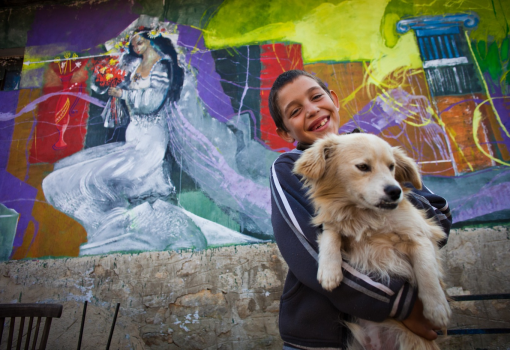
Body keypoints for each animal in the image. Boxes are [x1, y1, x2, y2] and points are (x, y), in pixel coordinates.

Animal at [292, 133, 448, 350]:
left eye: (391, 167)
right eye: (363, 167)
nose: (395, 191)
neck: (365, 216)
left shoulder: (421, 234)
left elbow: (427, 270)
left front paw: (437, 308)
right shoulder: (333, 222)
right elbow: (331, 234)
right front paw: (329, 272)